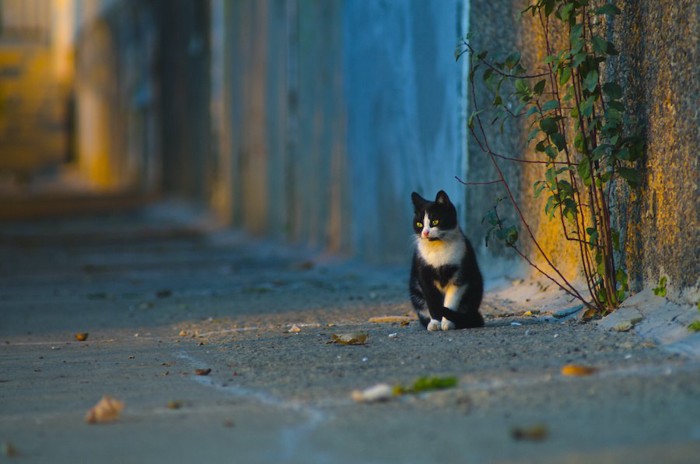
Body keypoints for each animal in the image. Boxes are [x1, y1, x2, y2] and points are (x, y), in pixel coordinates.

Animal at [408, 189, 484, 330]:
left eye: (435, 222)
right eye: (419, 224)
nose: (425, 233)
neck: (438, 250)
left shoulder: (460, 277)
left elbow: (451, 301)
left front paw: (447, 323)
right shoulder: (424, 275)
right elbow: (432, 301)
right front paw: (435, 323)